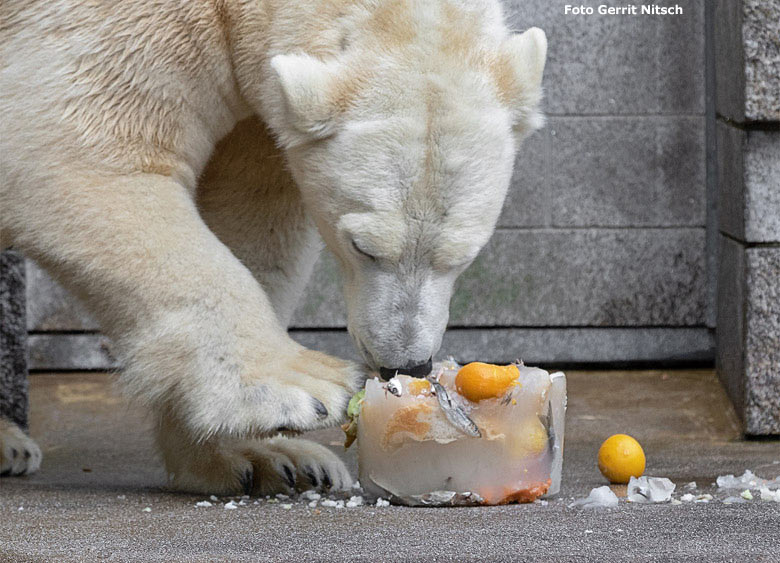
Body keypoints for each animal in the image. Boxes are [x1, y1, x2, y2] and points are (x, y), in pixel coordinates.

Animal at [0, 0, 544, 494]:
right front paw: (302, 389)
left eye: (464, 257)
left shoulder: (255, 116)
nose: (404, 364)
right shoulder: (119, 28)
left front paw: (259, 455)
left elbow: (253, 216)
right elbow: (76, 154)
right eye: (363, 247)